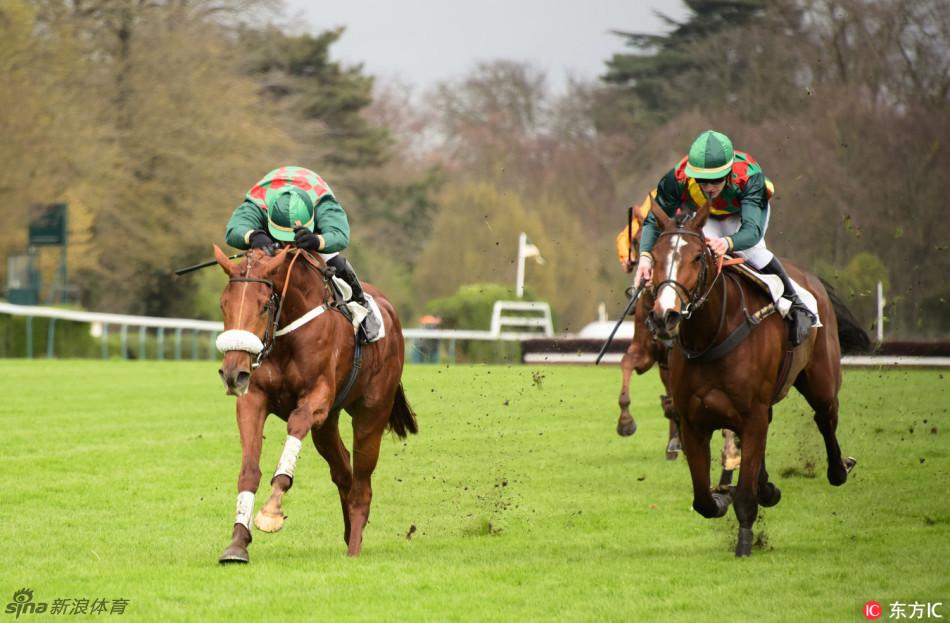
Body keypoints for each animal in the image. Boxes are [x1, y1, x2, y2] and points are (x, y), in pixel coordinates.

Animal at [214, 246, 418, 564]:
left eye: (263, 306)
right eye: (224, 305)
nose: (233, 374)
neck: (285, 335)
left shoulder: (316, 399)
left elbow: (296, 425)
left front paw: (272, 510)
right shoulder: (253, 399)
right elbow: (249, 471)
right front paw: (237, 543)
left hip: (371, 414)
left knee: (362, 484)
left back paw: (354, 548)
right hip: (327, 426)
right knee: (343, 471)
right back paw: (349, 534)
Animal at [648, 202, 872, 560]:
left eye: (697, 257)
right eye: (655, 256)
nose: (663, 315)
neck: (713, 334)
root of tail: (809, 277)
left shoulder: (751, 414)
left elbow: (743, 493)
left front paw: (743, 542)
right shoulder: (694, 421)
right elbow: (703, 499)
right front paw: (726, 496)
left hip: (821, 380)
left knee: (825, 417)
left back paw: (839, 469)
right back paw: (767, 486)